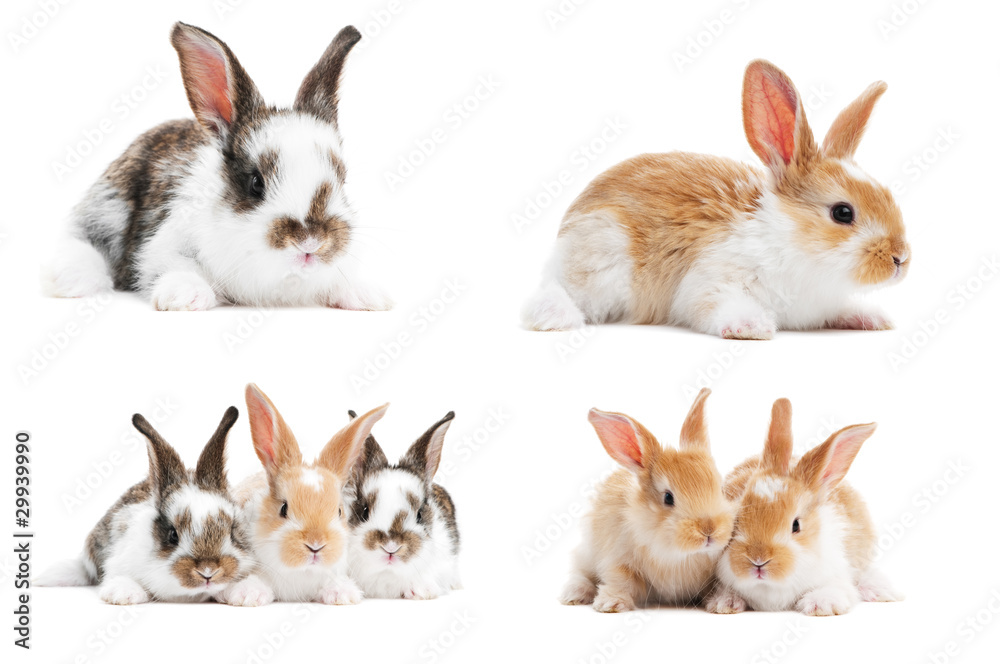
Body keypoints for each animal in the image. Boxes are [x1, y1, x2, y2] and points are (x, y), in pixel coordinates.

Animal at [43, 22, 392, 312]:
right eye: (256, 183)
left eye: (342, 180)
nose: (311, 244)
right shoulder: (163, 246)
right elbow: (174, 266)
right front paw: (185, 295)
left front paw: (368, 296)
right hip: (107, 209)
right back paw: (71, 281)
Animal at [523, 59, 909, 339]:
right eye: (842, 213)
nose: (900, 258)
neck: (787, 239)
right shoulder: (711, 284)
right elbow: (714, 305)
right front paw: (751, 327)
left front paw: (874, 319)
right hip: (602, 260)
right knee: (556, 292)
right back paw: (556, 318)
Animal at [560, 388, 735, 612]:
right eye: (668, 498)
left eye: (720, 489)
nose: (709, 530)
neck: (679, 555)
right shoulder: (619, 560)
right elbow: (621, 581)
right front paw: (611, 603)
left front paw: (725, 603)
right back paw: (575, 594)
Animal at [706, 398, 902, 616]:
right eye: (737, 518)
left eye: (796, 525)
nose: (758, 560)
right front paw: (725, 603)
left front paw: (821, 605)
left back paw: (880, 590)